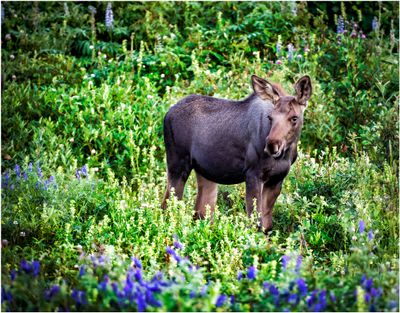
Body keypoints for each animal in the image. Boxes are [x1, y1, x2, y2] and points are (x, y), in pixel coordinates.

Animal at [161, 74, 310, 232]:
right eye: (270, 117)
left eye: (294, 118)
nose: (272, 145)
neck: (286, 154)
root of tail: (167, 114)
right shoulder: (253, 174)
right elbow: (256, 222)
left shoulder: (277, 179)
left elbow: (267, 225)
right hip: (178, 164)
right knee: (167, 205)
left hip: (203, 172)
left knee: (200, 212)